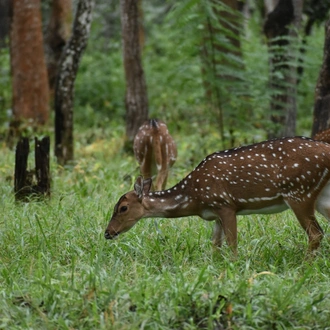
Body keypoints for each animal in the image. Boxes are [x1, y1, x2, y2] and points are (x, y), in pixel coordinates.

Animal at [104, 135, 330, 254]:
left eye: (122, 208)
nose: (107, 232)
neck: (194, 198)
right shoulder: (215, 215)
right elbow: (215, 246)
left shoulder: (225, 204)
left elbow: (232, 244)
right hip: (321, 197)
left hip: (299, 192)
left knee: (316, 233)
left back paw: (305, 265)